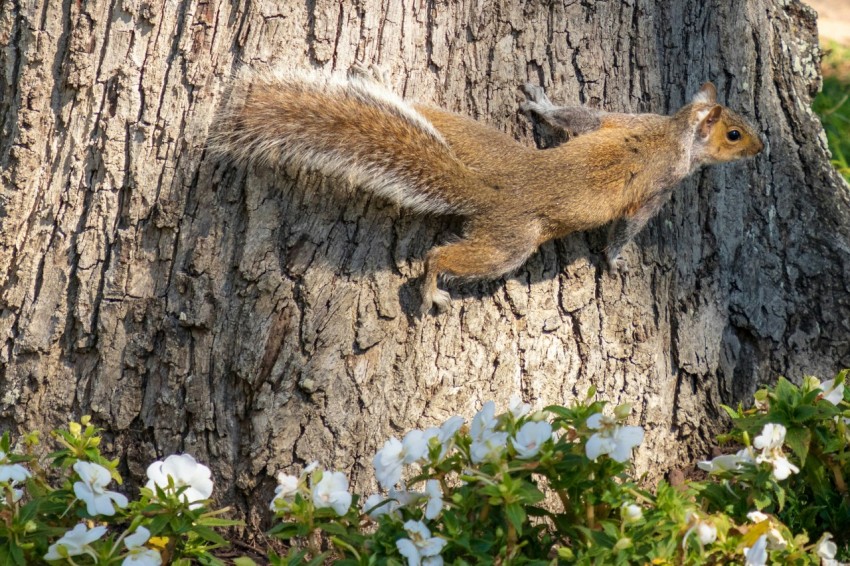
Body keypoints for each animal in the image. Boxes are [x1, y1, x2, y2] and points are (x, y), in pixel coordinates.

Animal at [209, 67, 764, 314]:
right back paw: (432, 290)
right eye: (734, 134)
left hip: (476, 141)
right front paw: (617, 261)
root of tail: (490, 190)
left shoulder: (619, 119)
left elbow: (580, 118)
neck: (674, 132)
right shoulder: (659, 186)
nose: (762, 148)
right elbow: (628, 227)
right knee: (440, 256)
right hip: (509, 245)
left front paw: (542, 104)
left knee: (430, 118)